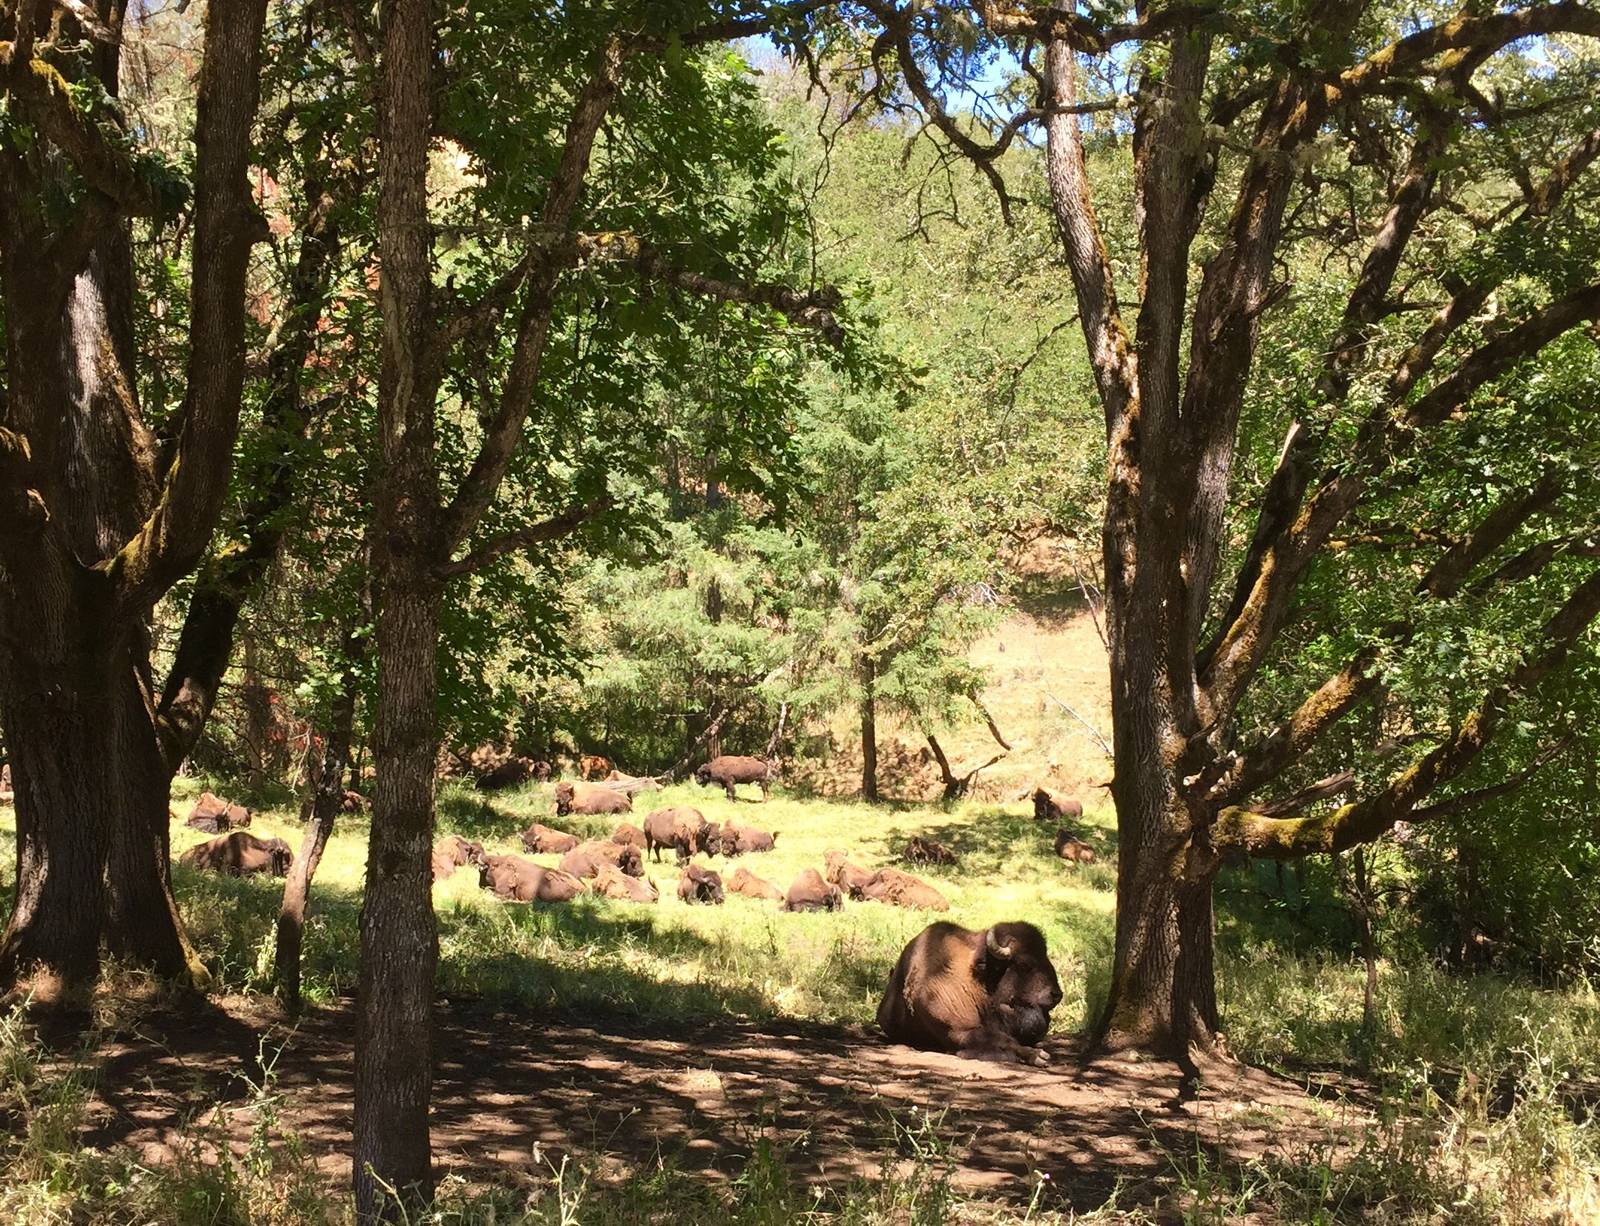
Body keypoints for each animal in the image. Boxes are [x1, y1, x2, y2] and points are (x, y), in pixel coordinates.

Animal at [877, 921, 1062, 1066]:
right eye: (1024, 964)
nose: (1057, 994)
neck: (979, 979)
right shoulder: (959, 1030)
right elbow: (1002, 1040)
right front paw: (1037, 1056)